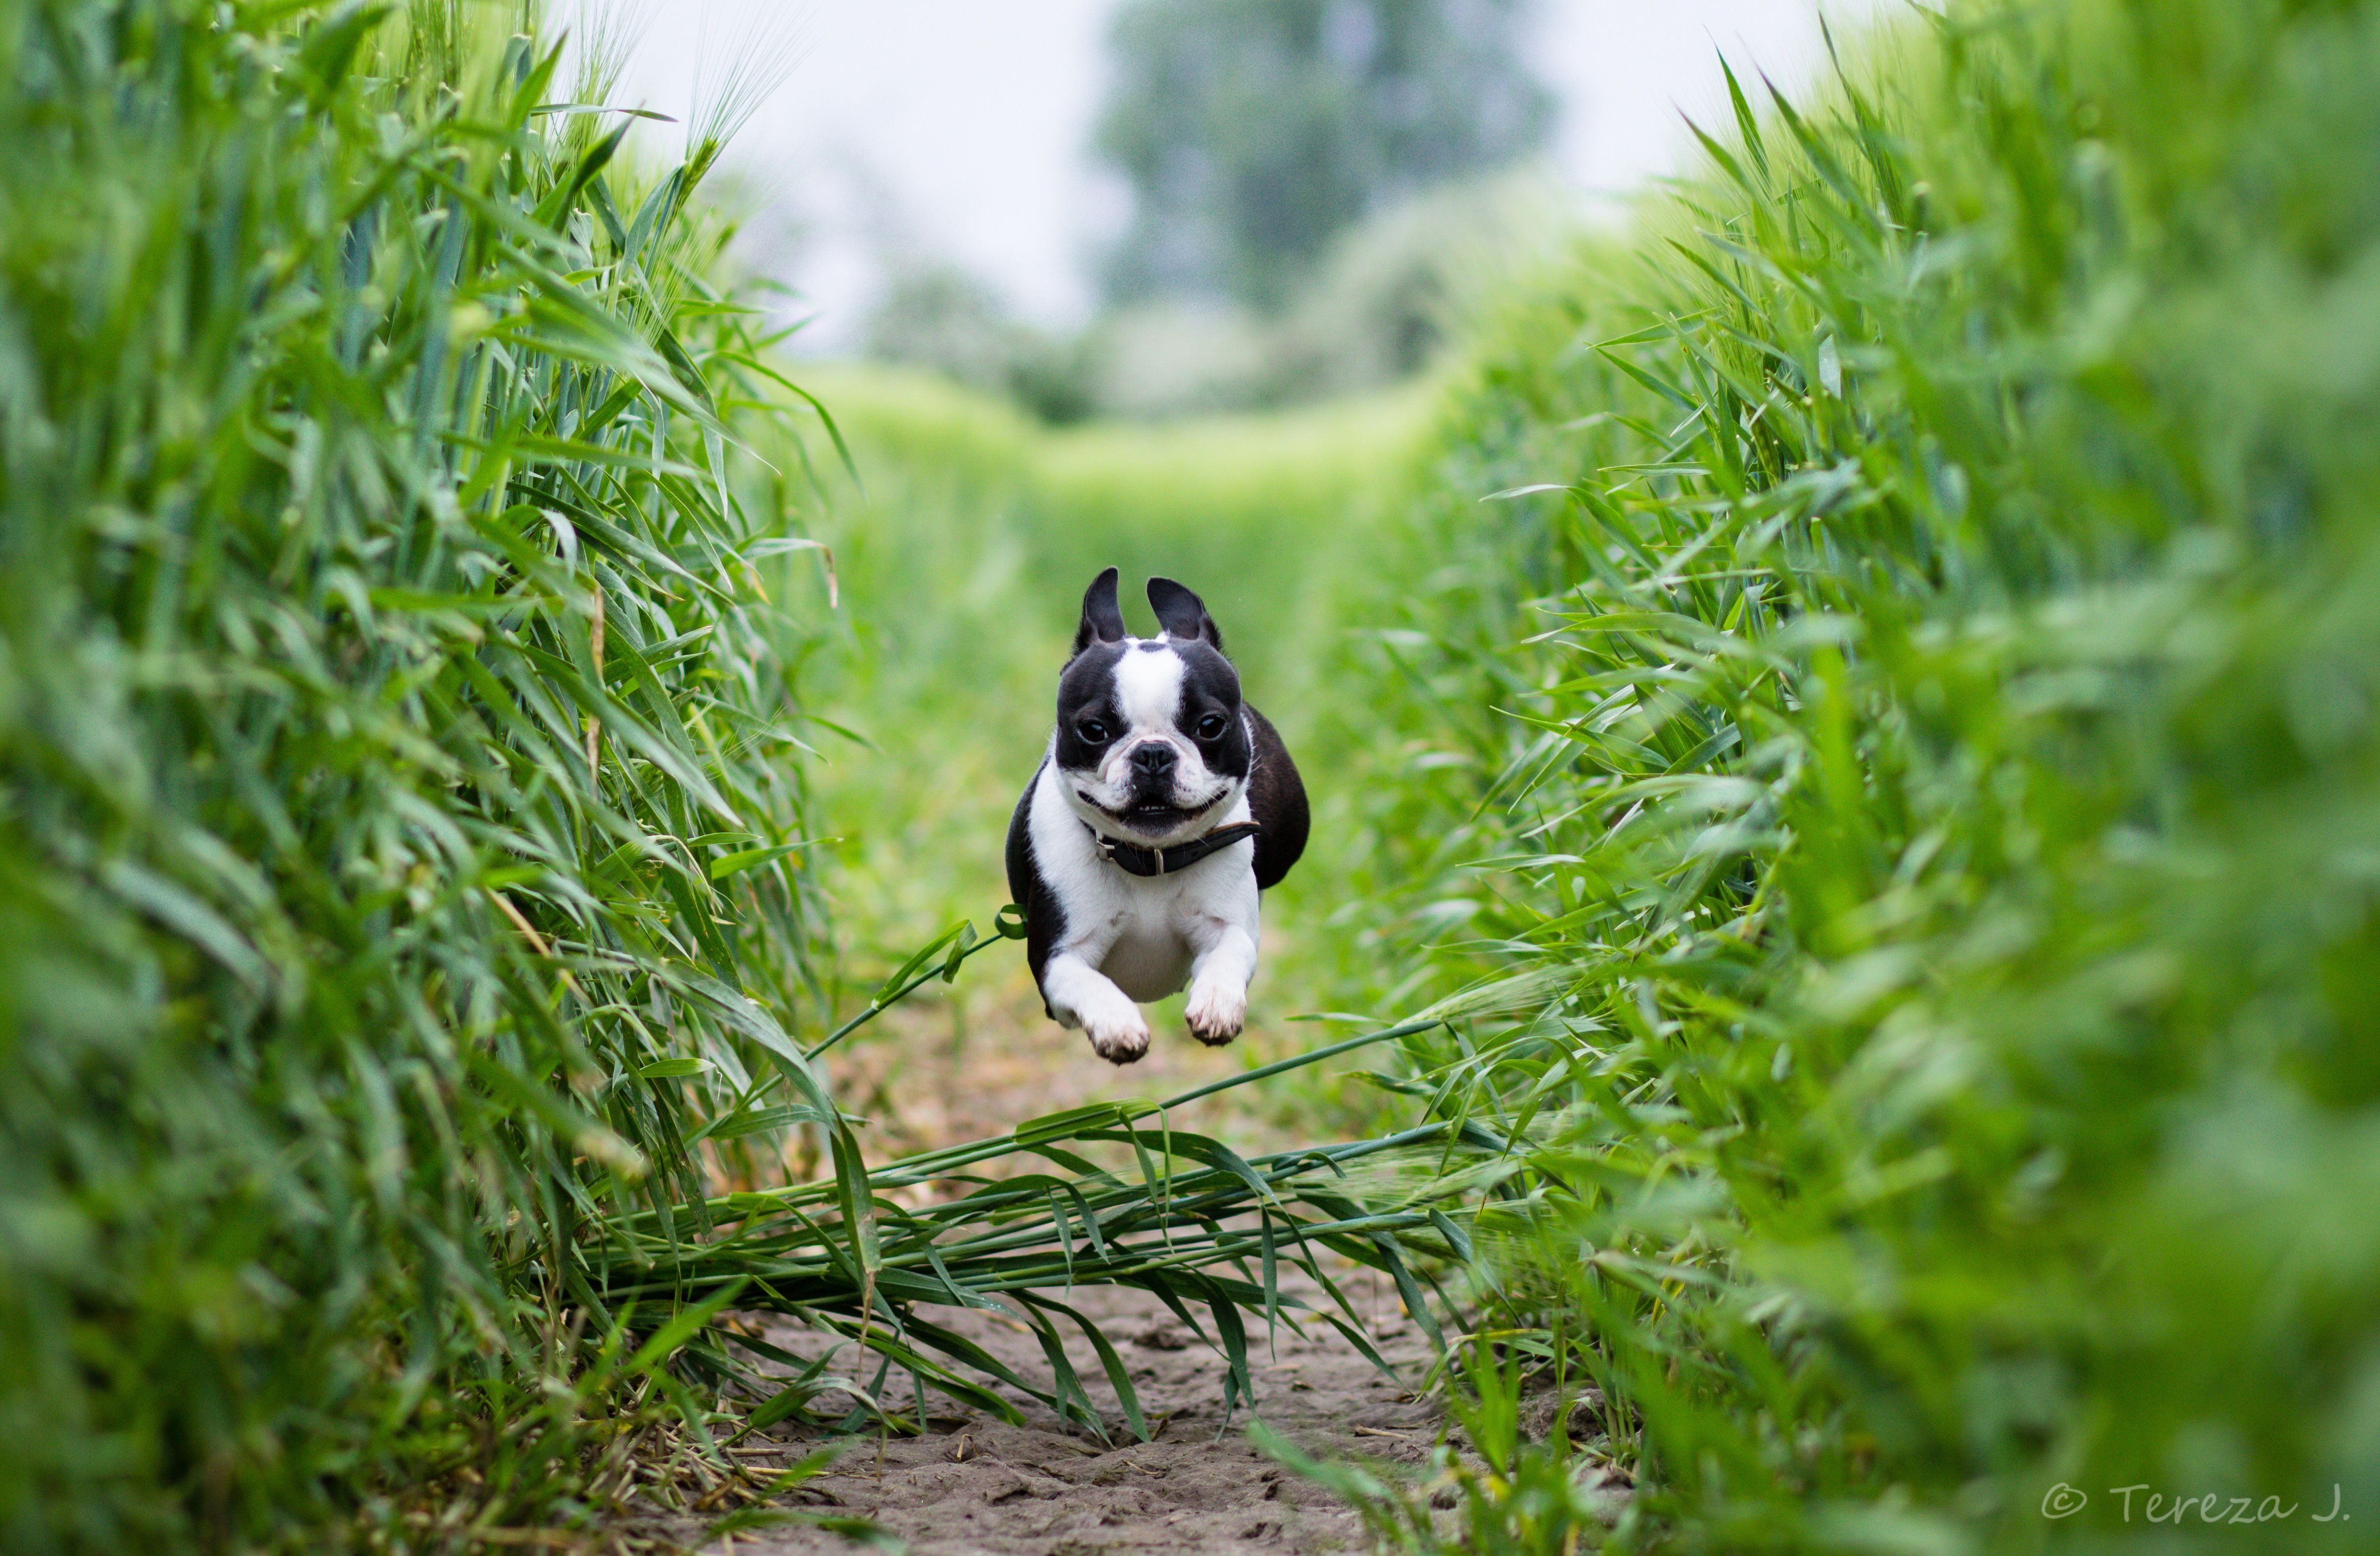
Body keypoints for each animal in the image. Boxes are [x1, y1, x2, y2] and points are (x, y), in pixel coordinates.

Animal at [999, 573, 1313, 1075]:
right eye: (1093, 730)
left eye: (1210, 725)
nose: (1152, 753)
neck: (1149, 859)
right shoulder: (1056, 959)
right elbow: (1089, 984)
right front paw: (1117, 1026)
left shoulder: (1227, 925)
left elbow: (1229, 954)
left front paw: (1217, 1005)